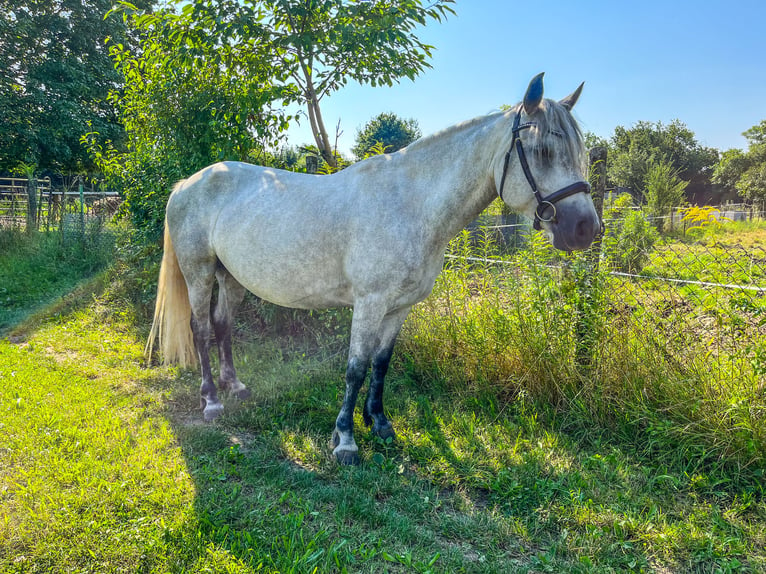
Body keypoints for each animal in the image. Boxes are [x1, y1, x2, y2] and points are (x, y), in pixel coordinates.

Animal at [147, 73, 604, 468]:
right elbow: (355, 368)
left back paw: (236, 387)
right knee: (201, 329)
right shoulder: (369, 304)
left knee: (223, 325)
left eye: (579, 153)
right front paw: (346, 440)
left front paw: (380, 424)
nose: (586, 229)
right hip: (199, 271)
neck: (411, 205)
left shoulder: (399, 307)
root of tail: (187, 183)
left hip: (232, 277)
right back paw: (211, 400)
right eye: (541, 151)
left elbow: (381, 364)